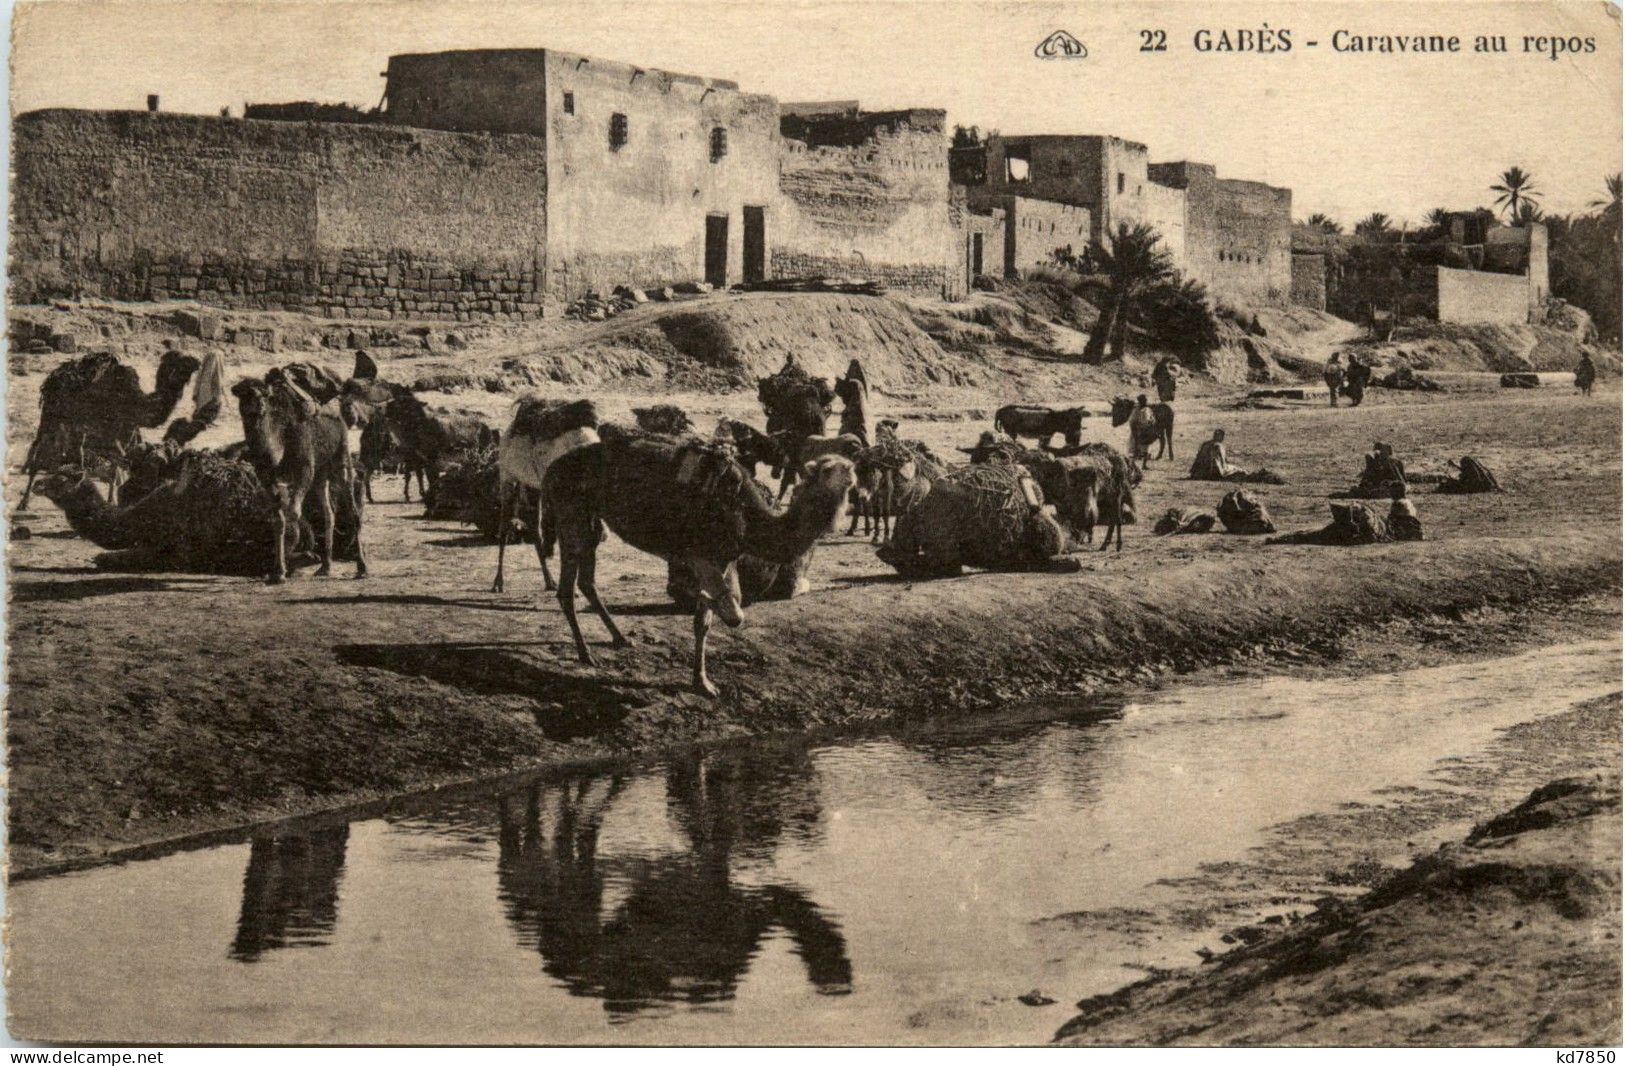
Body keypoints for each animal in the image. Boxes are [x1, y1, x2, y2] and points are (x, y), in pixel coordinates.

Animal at [20, 342, 198, 507]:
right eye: (179, 360)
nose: (196, 361)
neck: (134, 400)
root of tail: (53, 376)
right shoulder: (111, 431)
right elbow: (116, 462)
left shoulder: (124, 430)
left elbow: (117, 464)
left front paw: (111, 500)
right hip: (51, 417)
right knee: (39, 449)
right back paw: (24, 501)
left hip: (77, 425)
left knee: (76, 450)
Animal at [232, 367, 368, 581]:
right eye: (244, 393)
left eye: (264, 394)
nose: (258, 407)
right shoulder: (267, 478)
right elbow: (278, 519)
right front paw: (278, 572)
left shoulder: (304, 469)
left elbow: (293, 513)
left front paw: (289, 563)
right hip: (321, 473)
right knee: (328, 512)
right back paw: (325, 567)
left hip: (341, 455)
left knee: (351, 503)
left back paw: (361, 567)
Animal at [539, 429, 858, 695]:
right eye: (828, 468)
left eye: (847, 464)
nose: (853, 472)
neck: (748, 516)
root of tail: (550, 470)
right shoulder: (701, 556)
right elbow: (731, 614)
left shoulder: (722, 559)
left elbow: (706, 620)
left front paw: (702, 682)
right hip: (571, 513)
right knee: (568, 586)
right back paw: (585, 654)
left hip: (590, 519)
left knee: (587, 580)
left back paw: (619, 638)